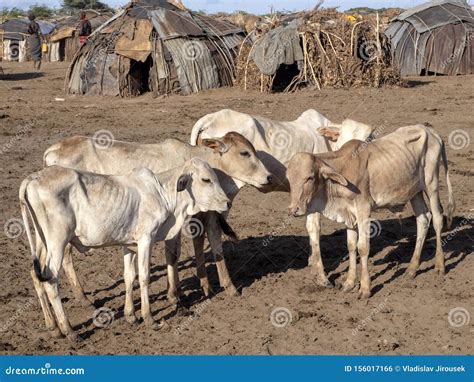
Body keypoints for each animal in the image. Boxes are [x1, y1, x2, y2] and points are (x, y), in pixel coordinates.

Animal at [19, 158, 231, 340]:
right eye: (206, 179)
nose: (227, 202)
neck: (163, 193)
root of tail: (32, 178)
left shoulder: (129, 245)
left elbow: (129, 276)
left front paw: (131, 316)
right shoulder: (146, 239)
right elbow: (144, 277)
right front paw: (149, 318)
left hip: (43, 242)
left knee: (35, 275)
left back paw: (53, 327)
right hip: (58, 241)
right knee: (51, 281)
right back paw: (69, 331)